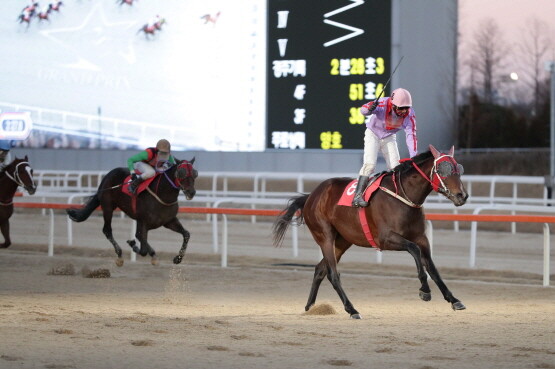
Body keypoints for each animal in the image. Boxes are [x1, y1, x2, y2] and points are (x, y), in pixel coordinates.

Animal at [67, 157, 198, 266]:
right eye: (182, 172)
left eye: (195, 173)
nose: (191, 192)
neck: (161, 194)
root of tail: (108, 175)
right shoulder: (143, 221)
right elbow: (142, 247)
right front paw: (134, 246)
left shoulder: (168, 221)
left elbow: (186, 234)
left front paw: (178, 258)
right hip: (108, 207)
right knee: (107, 230)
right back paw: (120, 255)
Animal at [274, 145, 470, 318]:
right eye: (443, 170)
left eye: (458, 169)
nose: (462, 195)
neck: (403, 196)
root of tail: (311, 196)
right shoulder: (385, 238)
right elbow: (414, 250)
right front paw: (425, 290)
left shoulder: (421, 238)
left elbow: (432, 267)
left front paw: (454, 300)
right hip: (325, 236)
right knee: (333, 273)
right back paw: (352, 310)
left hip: (343, 241)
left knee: (320, 269)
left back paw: (310, 307)